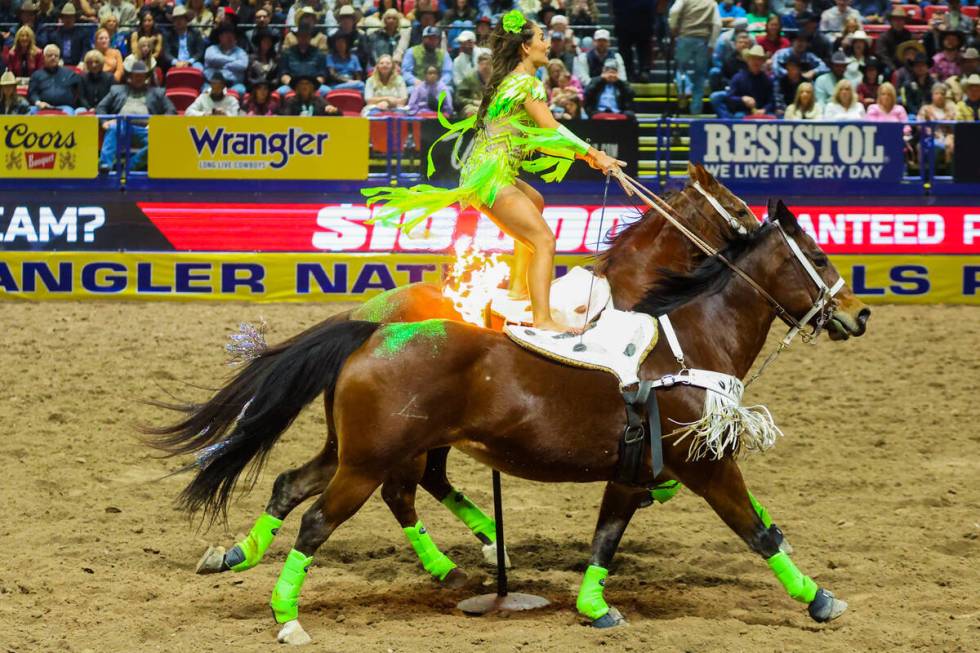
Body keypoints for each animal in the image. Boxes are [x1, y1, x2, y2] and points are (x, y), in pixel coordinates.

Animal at [153, 190, 872, 640]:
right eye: (820, 257)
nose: (856, 313)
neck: (684, 344)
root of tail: (372, 328)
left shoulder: (631, 471)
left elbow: (607, 536)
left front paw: (594, 605)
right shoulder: (707, 465)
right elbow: (757, 531)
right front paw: (819, 599)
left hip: (351, 452)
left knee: (293, 486)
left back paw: (242, 554)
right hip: (371, 462)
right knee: (323, 519)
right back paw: (290, 612)